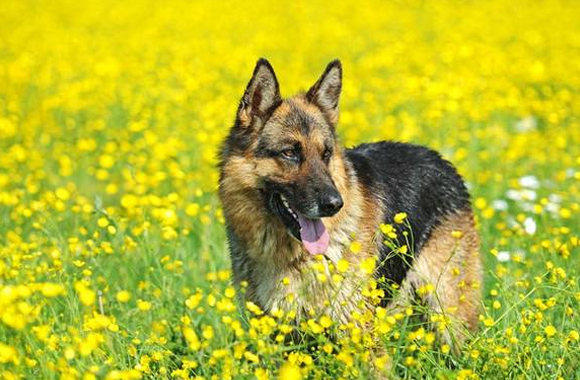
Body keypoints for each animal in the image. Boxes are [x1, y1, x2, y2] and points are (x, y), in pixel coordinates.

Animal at [218, 58, 480, 346]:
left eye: (326, 153)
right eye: (289, 153)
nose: (334, 205)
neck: (292, 257)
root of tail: (440, 159)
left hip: (451, 318)